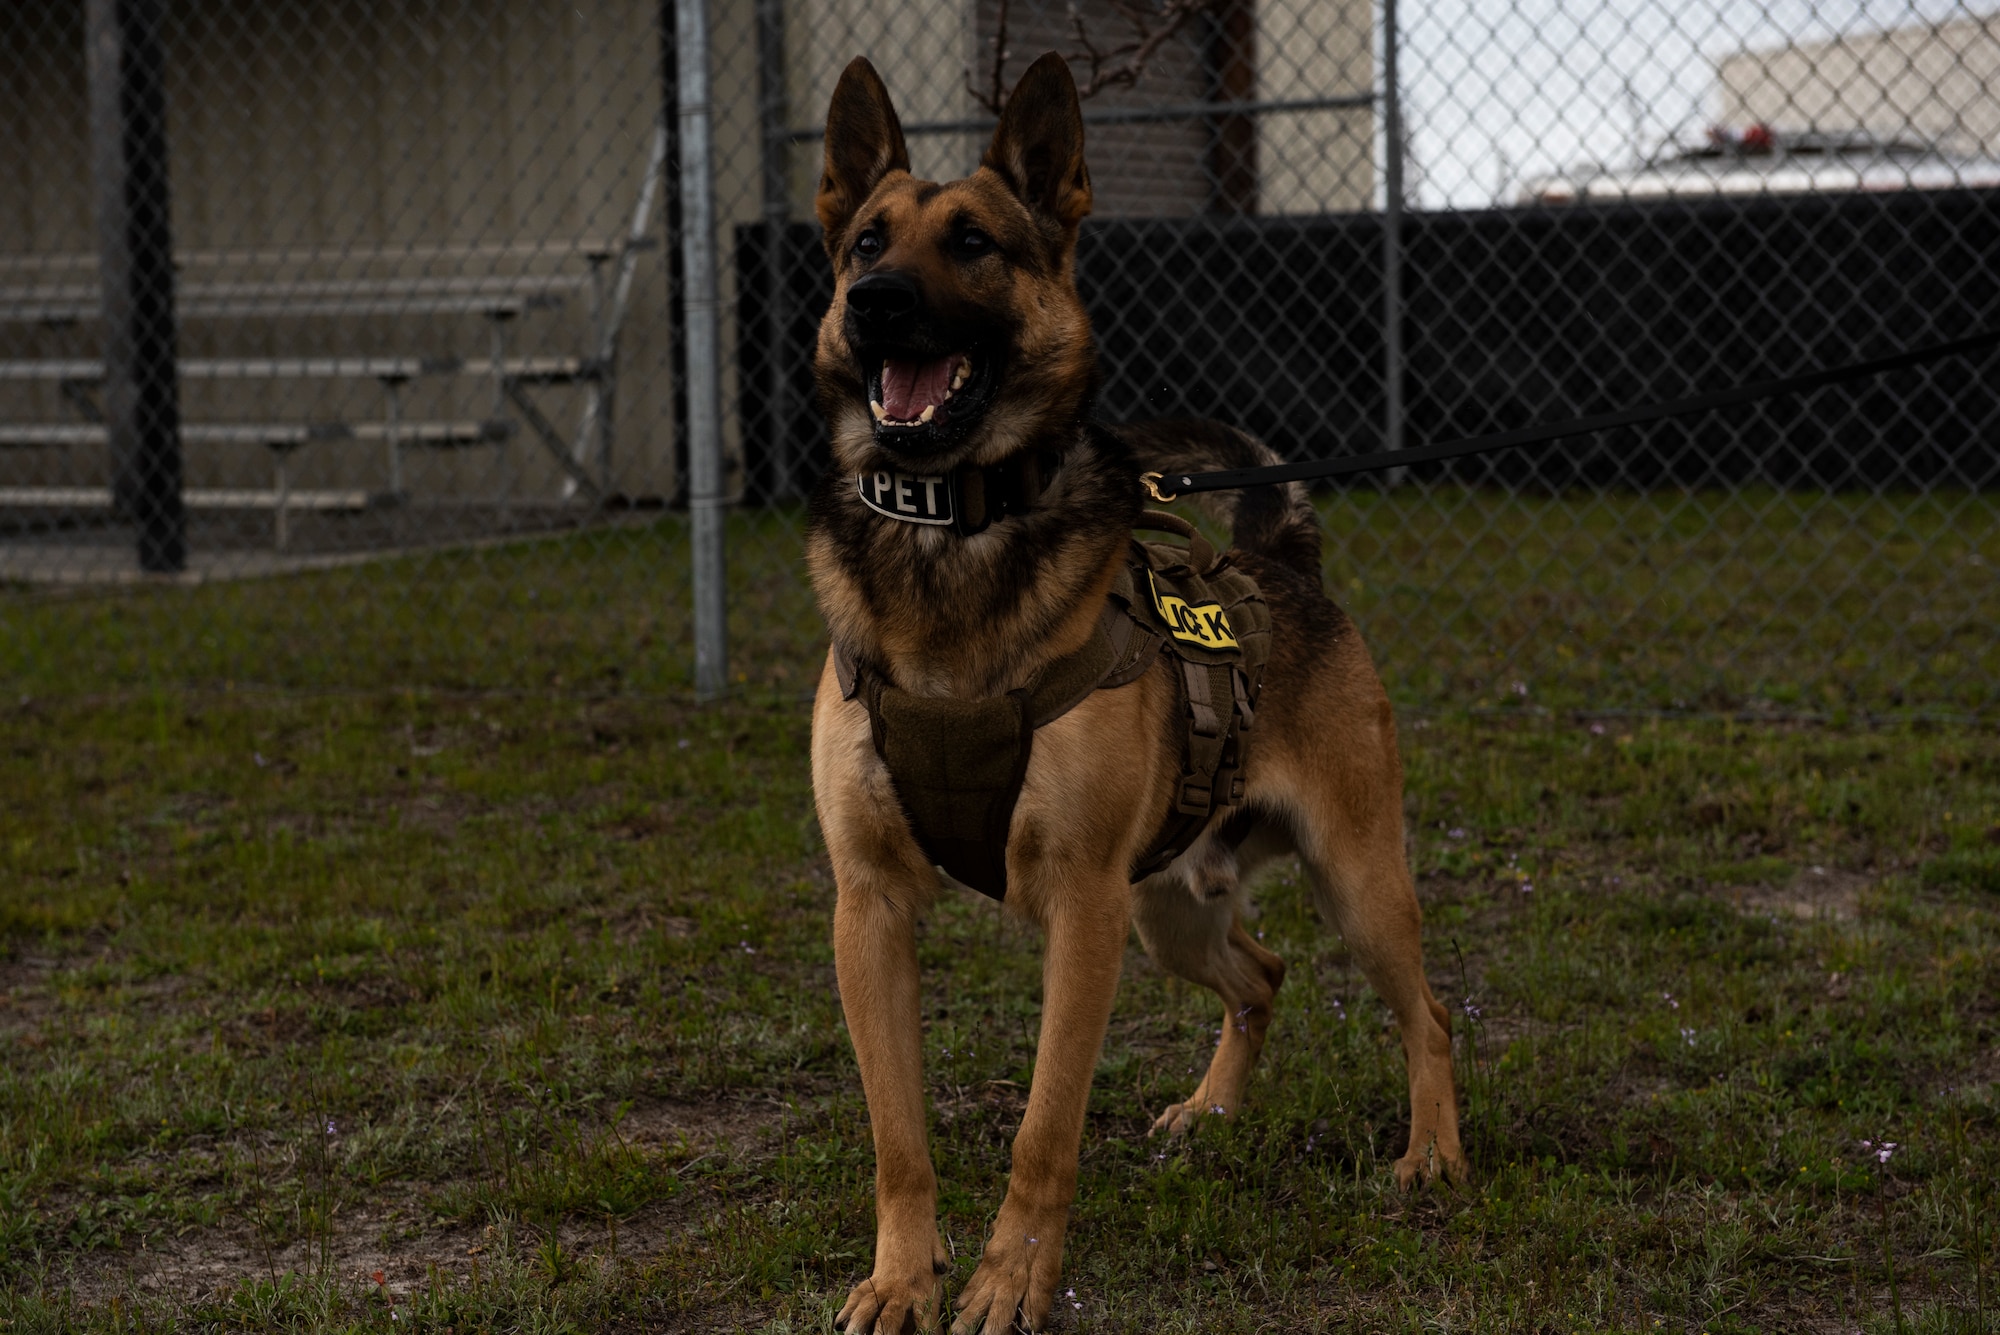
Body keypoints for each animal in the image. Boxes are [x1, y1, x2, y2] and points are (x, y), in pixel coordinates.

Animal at [804, 52, 1464, 1335]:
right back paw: (1212, 1112)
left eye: (972, 244)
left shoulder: (1081, 908)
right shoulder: (871, 910)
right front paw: (902, 1279)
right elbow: (898, 1139)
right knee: (1262, 976)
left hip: (1349, 882)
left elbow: (1042, 1128)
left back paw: (1432, 1158)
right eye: (864, 244)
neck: (953, 536)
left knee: (1428, 1013)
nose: (875, 305)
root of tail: (1279, 563)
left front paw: (1010, 1280)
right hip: (1169, 910)